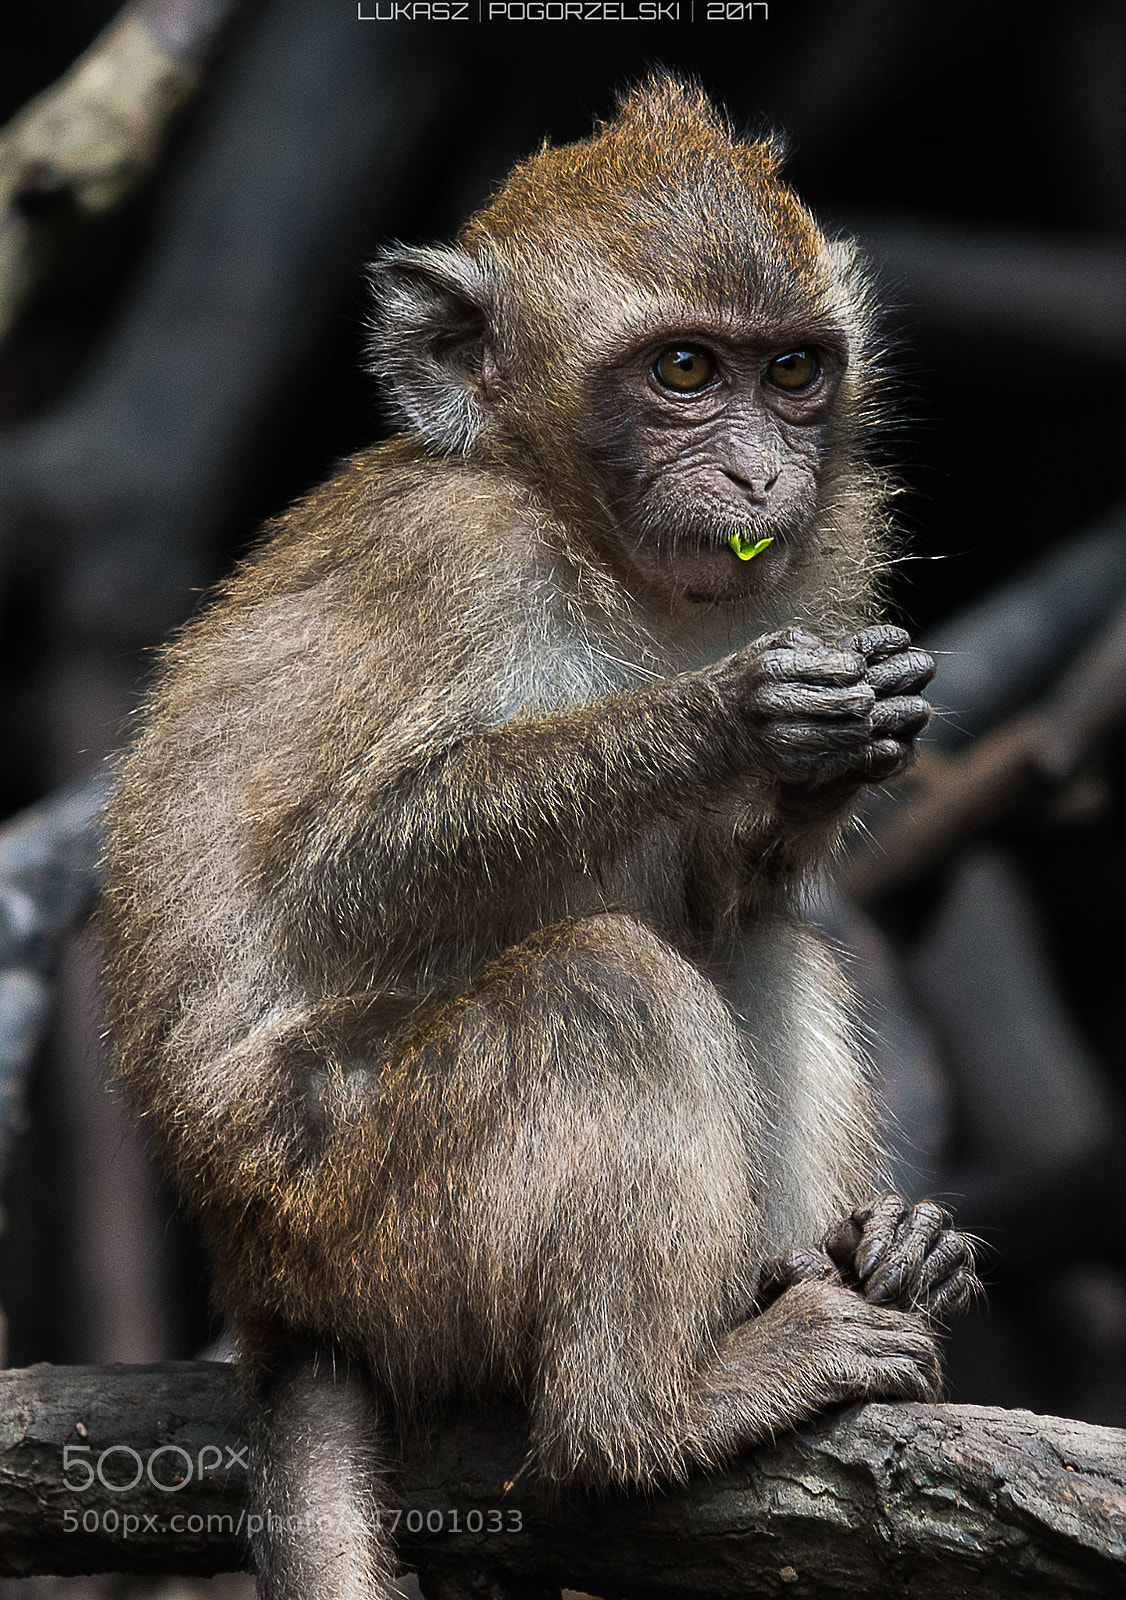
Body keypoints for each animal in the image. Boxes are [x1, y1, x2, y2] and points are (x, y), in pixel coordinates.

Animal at [100, 76, 975, 1600]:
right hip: (371, 1224)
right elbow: (341, 880)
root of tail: (262, 1287)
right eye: (683, 371)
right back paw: (651, 1414)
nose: (762, 477)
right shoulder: (459, 559)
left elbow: (729, 888)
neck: (592, 545)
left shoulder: (827, 555)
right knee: (602, 985)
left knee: (754, 948)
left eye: (791, 373)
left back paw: (867, 1265)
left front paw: (835, 748)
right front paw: (726, 715)